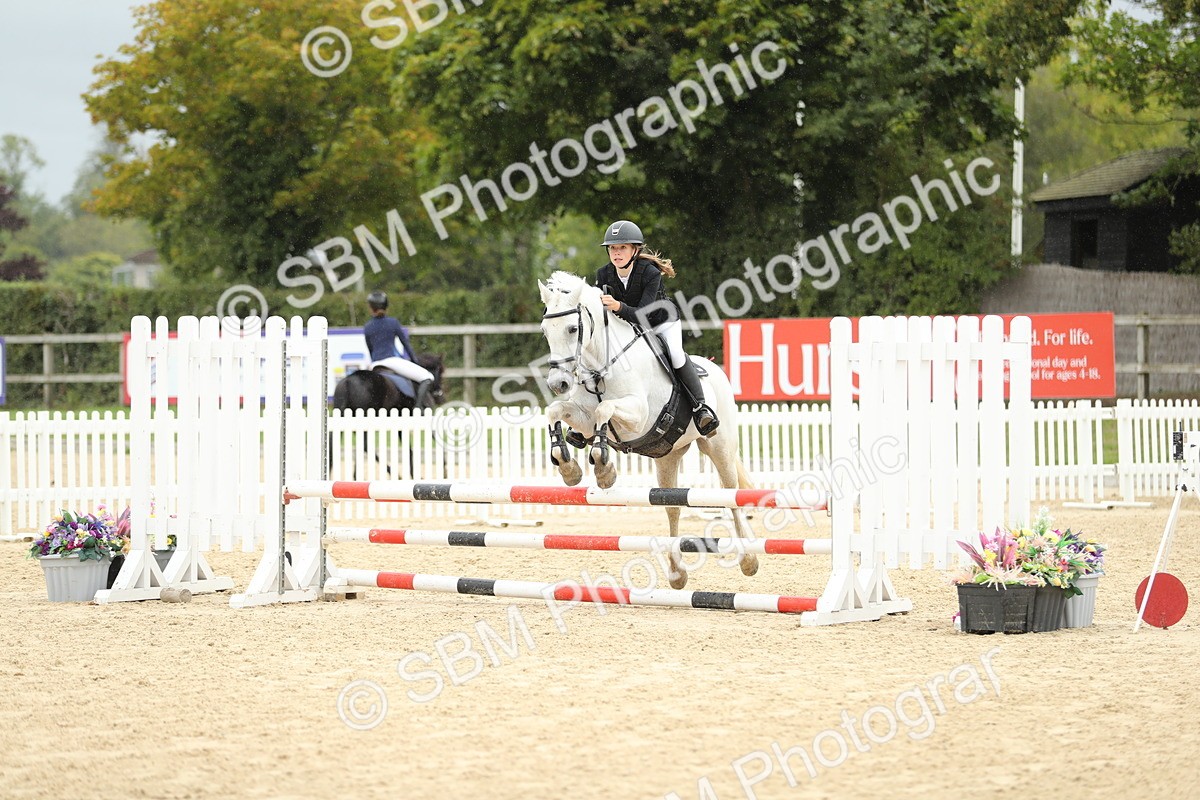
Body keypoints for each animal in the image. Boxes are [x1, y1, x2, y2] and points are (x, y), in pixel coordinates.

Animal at [537, 270, 758, 589]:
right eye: (545, 331)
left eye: (571, 328)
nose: (559, 384)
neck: (602, 364)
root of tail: (716, 369)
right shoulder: (584, 418)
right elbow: (556, 411)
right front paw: (569, 468)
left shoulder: (638, 414)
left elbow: (605, 410)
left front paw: (603, 469)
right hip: (669, 455)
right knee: (673, 506)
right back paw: (677, 573)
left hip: (719, 446)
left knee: (732, 497)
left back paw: (749, 561)